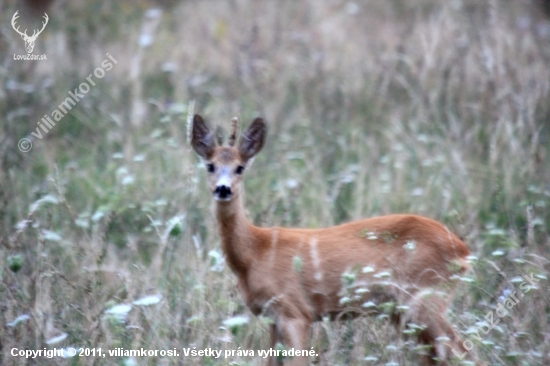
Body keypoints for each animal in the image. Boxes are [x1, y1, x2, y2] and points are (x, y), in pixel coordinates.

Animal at [192, 113, 472, 364]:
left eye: (240, 167)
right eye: (210, 165)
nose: (223, 189)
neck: (254, 254)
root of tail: (463, 251)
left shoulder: (295, 310)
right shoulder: (273, 316)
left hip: (426, 297)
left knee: (461, 350)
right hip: (403, 311)